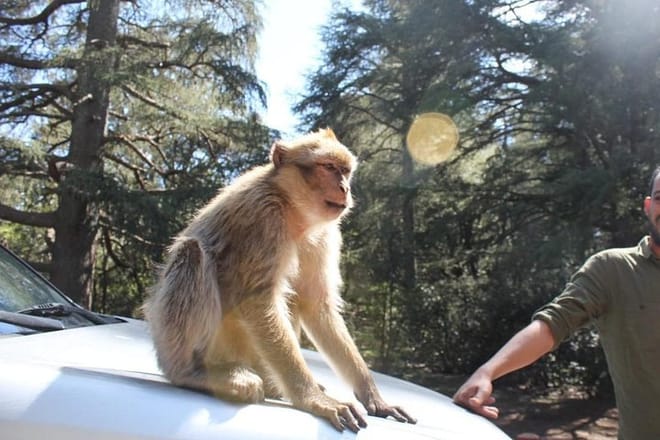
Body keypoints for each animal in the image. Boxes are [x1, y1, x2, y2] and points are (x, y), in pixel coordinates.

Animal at [143, 128, 416, 432]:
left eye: (345, 172)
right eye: (329, 168)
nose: (345, 188)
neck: (292, 208)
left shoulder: (325, 234)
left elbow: (316, 304)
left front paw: (372, 396)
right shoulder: (265, 217)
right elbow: (259, 301)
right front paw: (313, 398)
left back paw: (274, 386)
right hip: (188, 342)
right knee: (191, 253)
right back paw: (190, 372)